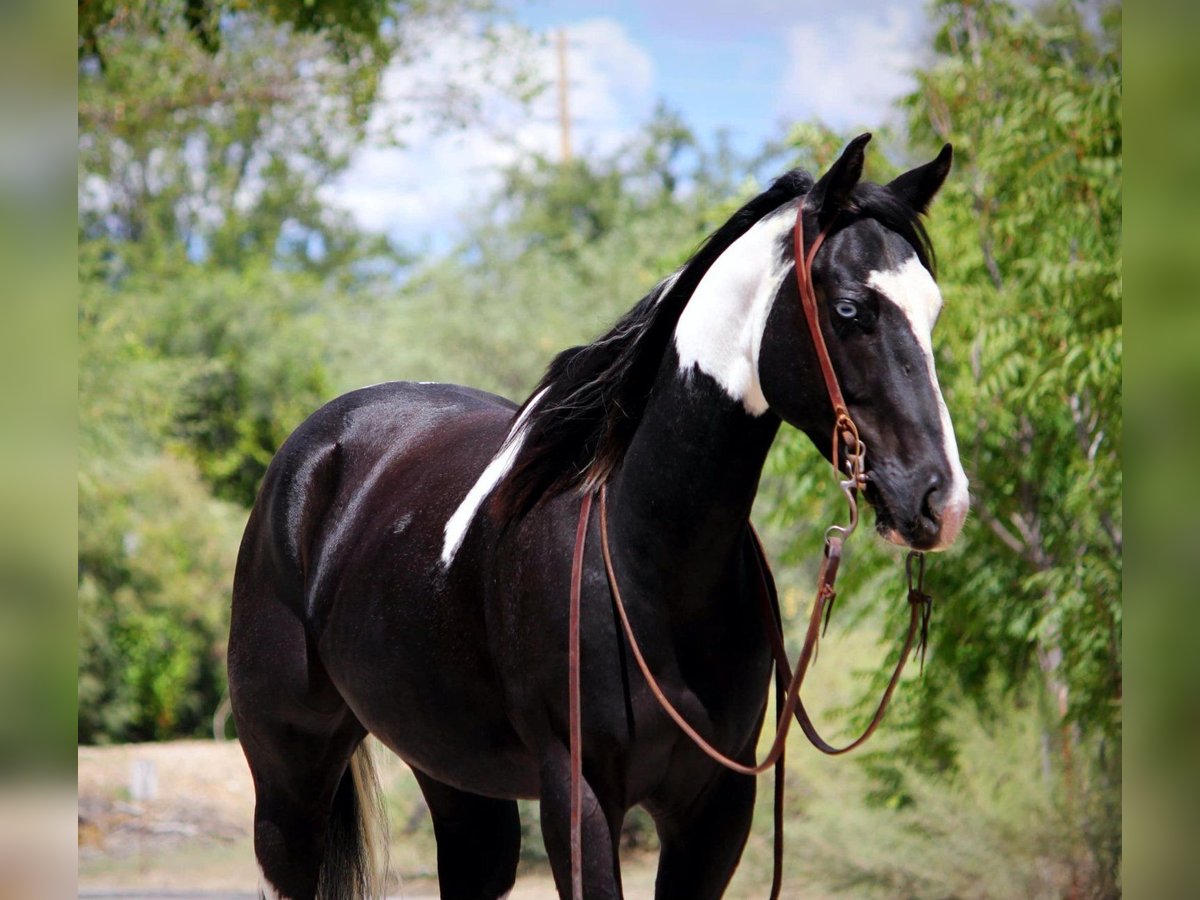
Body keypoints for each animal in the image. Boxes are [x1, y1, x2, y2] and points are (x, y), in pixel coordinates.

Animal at [229, 133, 969, 900]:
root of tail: (317, 448)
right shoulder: (578, 797)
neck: (648, 560)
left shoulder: (715, 811)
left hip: (454, 777)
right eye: (851, 310)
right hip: (289, 777)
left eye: (934, 310)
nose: (938, 499)